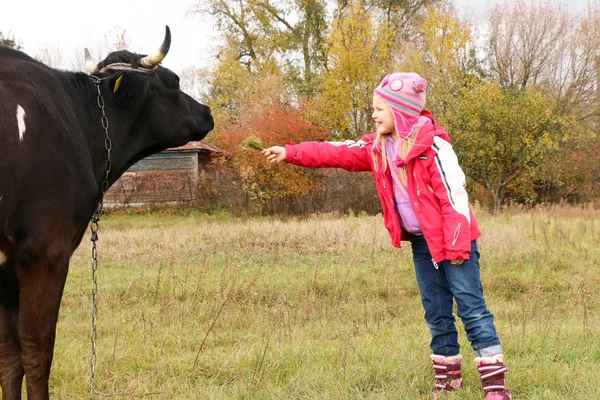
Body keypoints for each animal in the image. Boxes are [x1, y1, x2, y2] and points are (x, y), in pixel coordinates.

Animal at [0, 26, 214, 398]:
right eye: (174, 80)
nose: (207, 111)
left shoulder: (5, 265)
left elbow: (9, 358)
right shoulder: (46, 250)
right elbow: (38, 352)